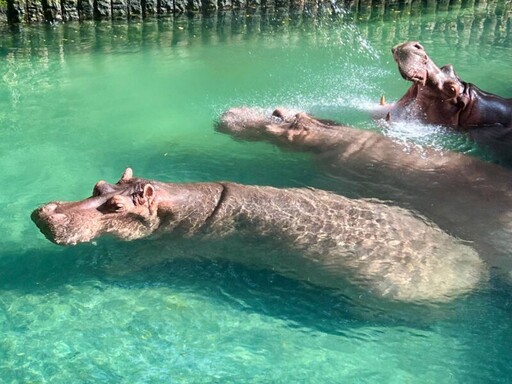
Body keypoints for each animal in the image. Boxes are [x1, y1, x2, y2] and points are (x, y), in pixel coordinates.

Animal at [32, 168, 484, 304]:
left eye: (116, 207)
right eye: (98, 185)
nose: (45, 213)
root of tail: (477, 271)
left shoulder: (169, 244)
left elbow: (137, 258)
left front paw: (109, 268)